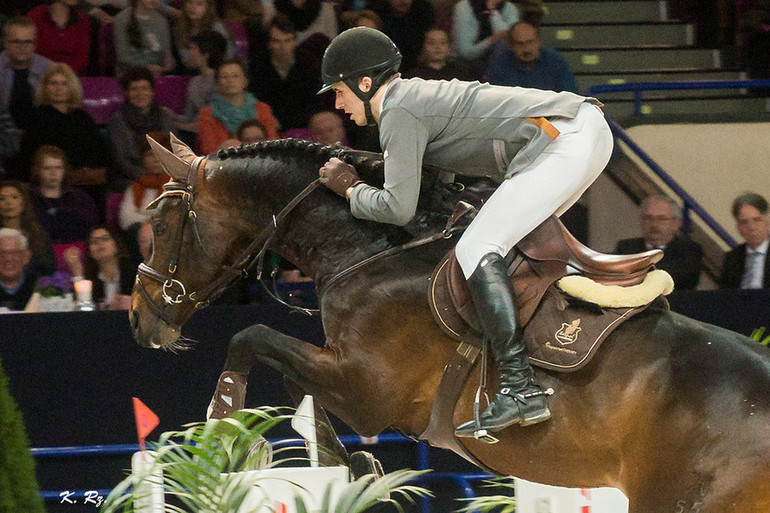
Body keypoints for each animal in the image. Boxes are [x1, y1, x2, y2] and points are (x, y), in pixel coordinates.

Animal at [130, 137, 768, 512]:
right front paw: (348, 463)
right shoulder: (348, 378)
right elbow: (294, 382)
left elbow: (253, 338)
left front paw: (222, 420)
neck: (370, 250)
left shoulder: (368, 390)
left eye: (161, 225)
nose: (139, 319)